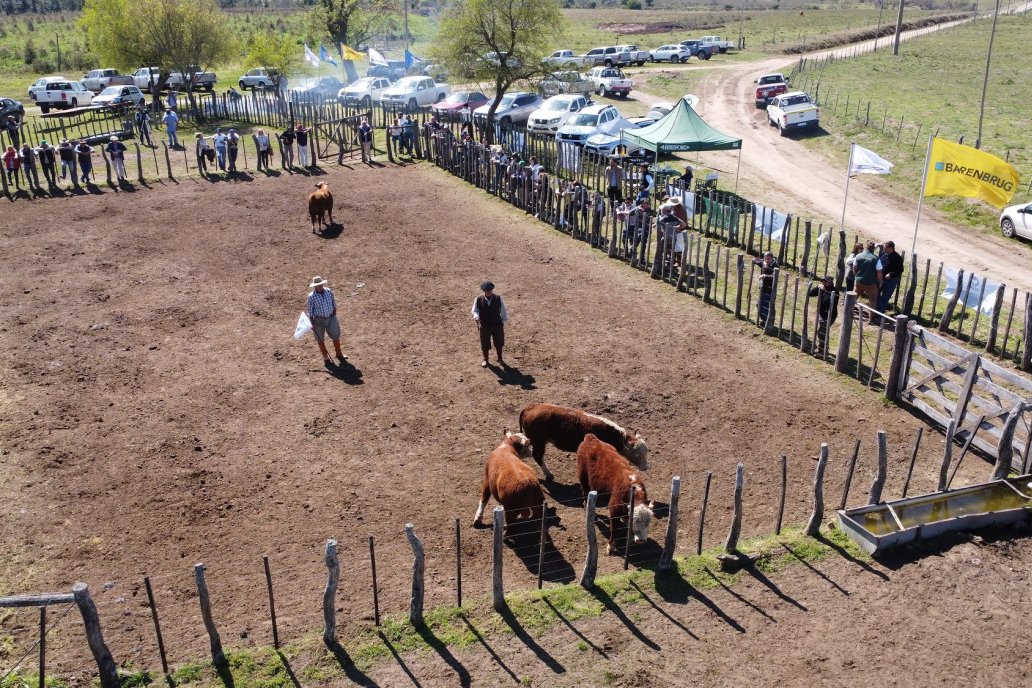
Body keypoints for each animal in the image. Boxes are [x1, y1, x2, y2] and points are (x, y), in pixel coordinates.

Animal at [520, 400, 648, 482]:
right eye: (637, 454)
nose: (646, 468)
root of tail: (530, 407)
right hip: (539, 442)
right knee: (538, 456)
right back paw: (549, 474)